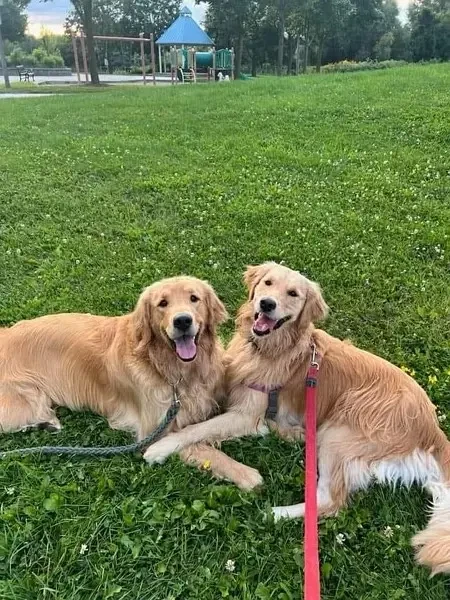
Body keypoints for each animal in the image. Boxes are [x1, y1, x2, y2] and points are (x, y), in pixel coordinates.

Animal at [0, 276, 264, 492]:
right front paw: (245, 473)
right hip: (26, 401)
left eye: (194, 298)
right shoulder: (152, 430)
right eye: (162, 303)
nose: (182, 321)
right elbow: (198, 444)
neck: (174, 370)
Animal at [144, 262, 450, 576]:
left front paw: (158, 447)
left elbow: (195, 428)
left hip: (338, 431)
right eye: (267, 283)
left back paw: (276, 512)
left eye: (293, 293)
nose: (267, 304)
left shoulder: (245, 414)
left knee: (329, 502)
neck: (268, 348)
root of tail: (433, 431)